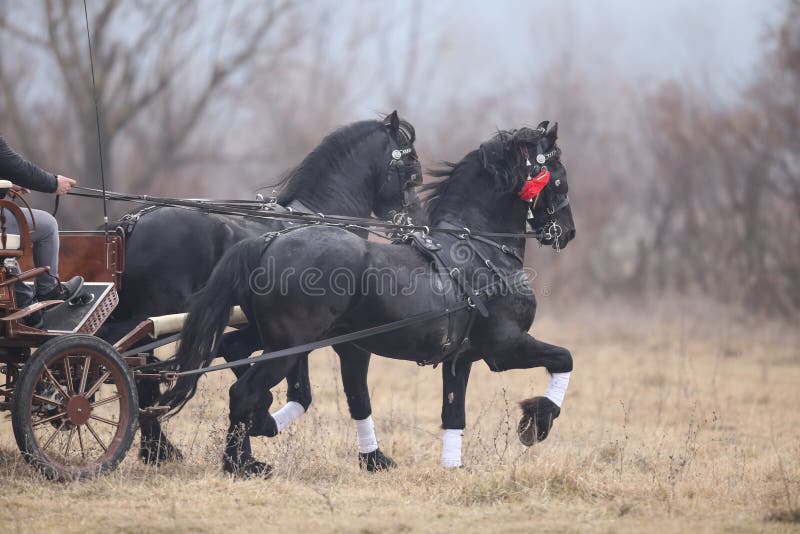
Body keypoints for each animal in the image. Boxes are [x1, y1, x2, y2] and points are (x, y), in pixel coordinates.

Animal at [97, 111, 423, 466]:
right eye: (411, 170)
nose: (416, 224)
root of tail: (130, 223)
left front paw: (250, 437)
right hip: (154, 317)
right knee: (134, 369)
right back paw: (156, 448)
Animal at [159, 122, 576, 477]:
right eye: (559, 178)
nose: (567, 232)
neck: (478, 248)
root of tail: (268, 240)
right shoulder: (504, 348)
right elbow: (564, 358)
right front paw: (536, 421)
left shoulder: (459, 358)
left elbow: (452, 413)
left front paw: (451, 466)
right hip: (288, 347)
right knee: (243, 392)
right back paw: (239, 464)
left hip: (274, 339)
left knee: (238, 366)